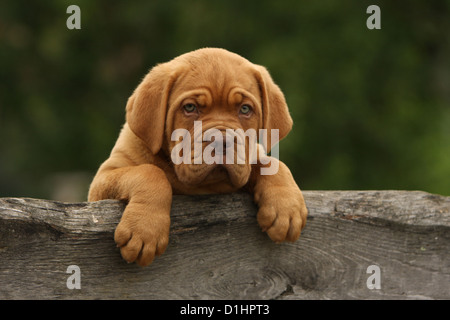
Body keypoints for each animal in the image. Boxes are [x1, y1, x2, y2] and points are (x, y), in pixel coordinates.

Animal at [88, 47, 306, 266]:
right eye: (190, 108)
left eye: (245, 109)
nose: (222, 141)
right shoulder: (103, 180)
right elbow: (149, 172)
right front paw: (145, 227)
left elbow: (273, 164)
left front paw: (287, 207)